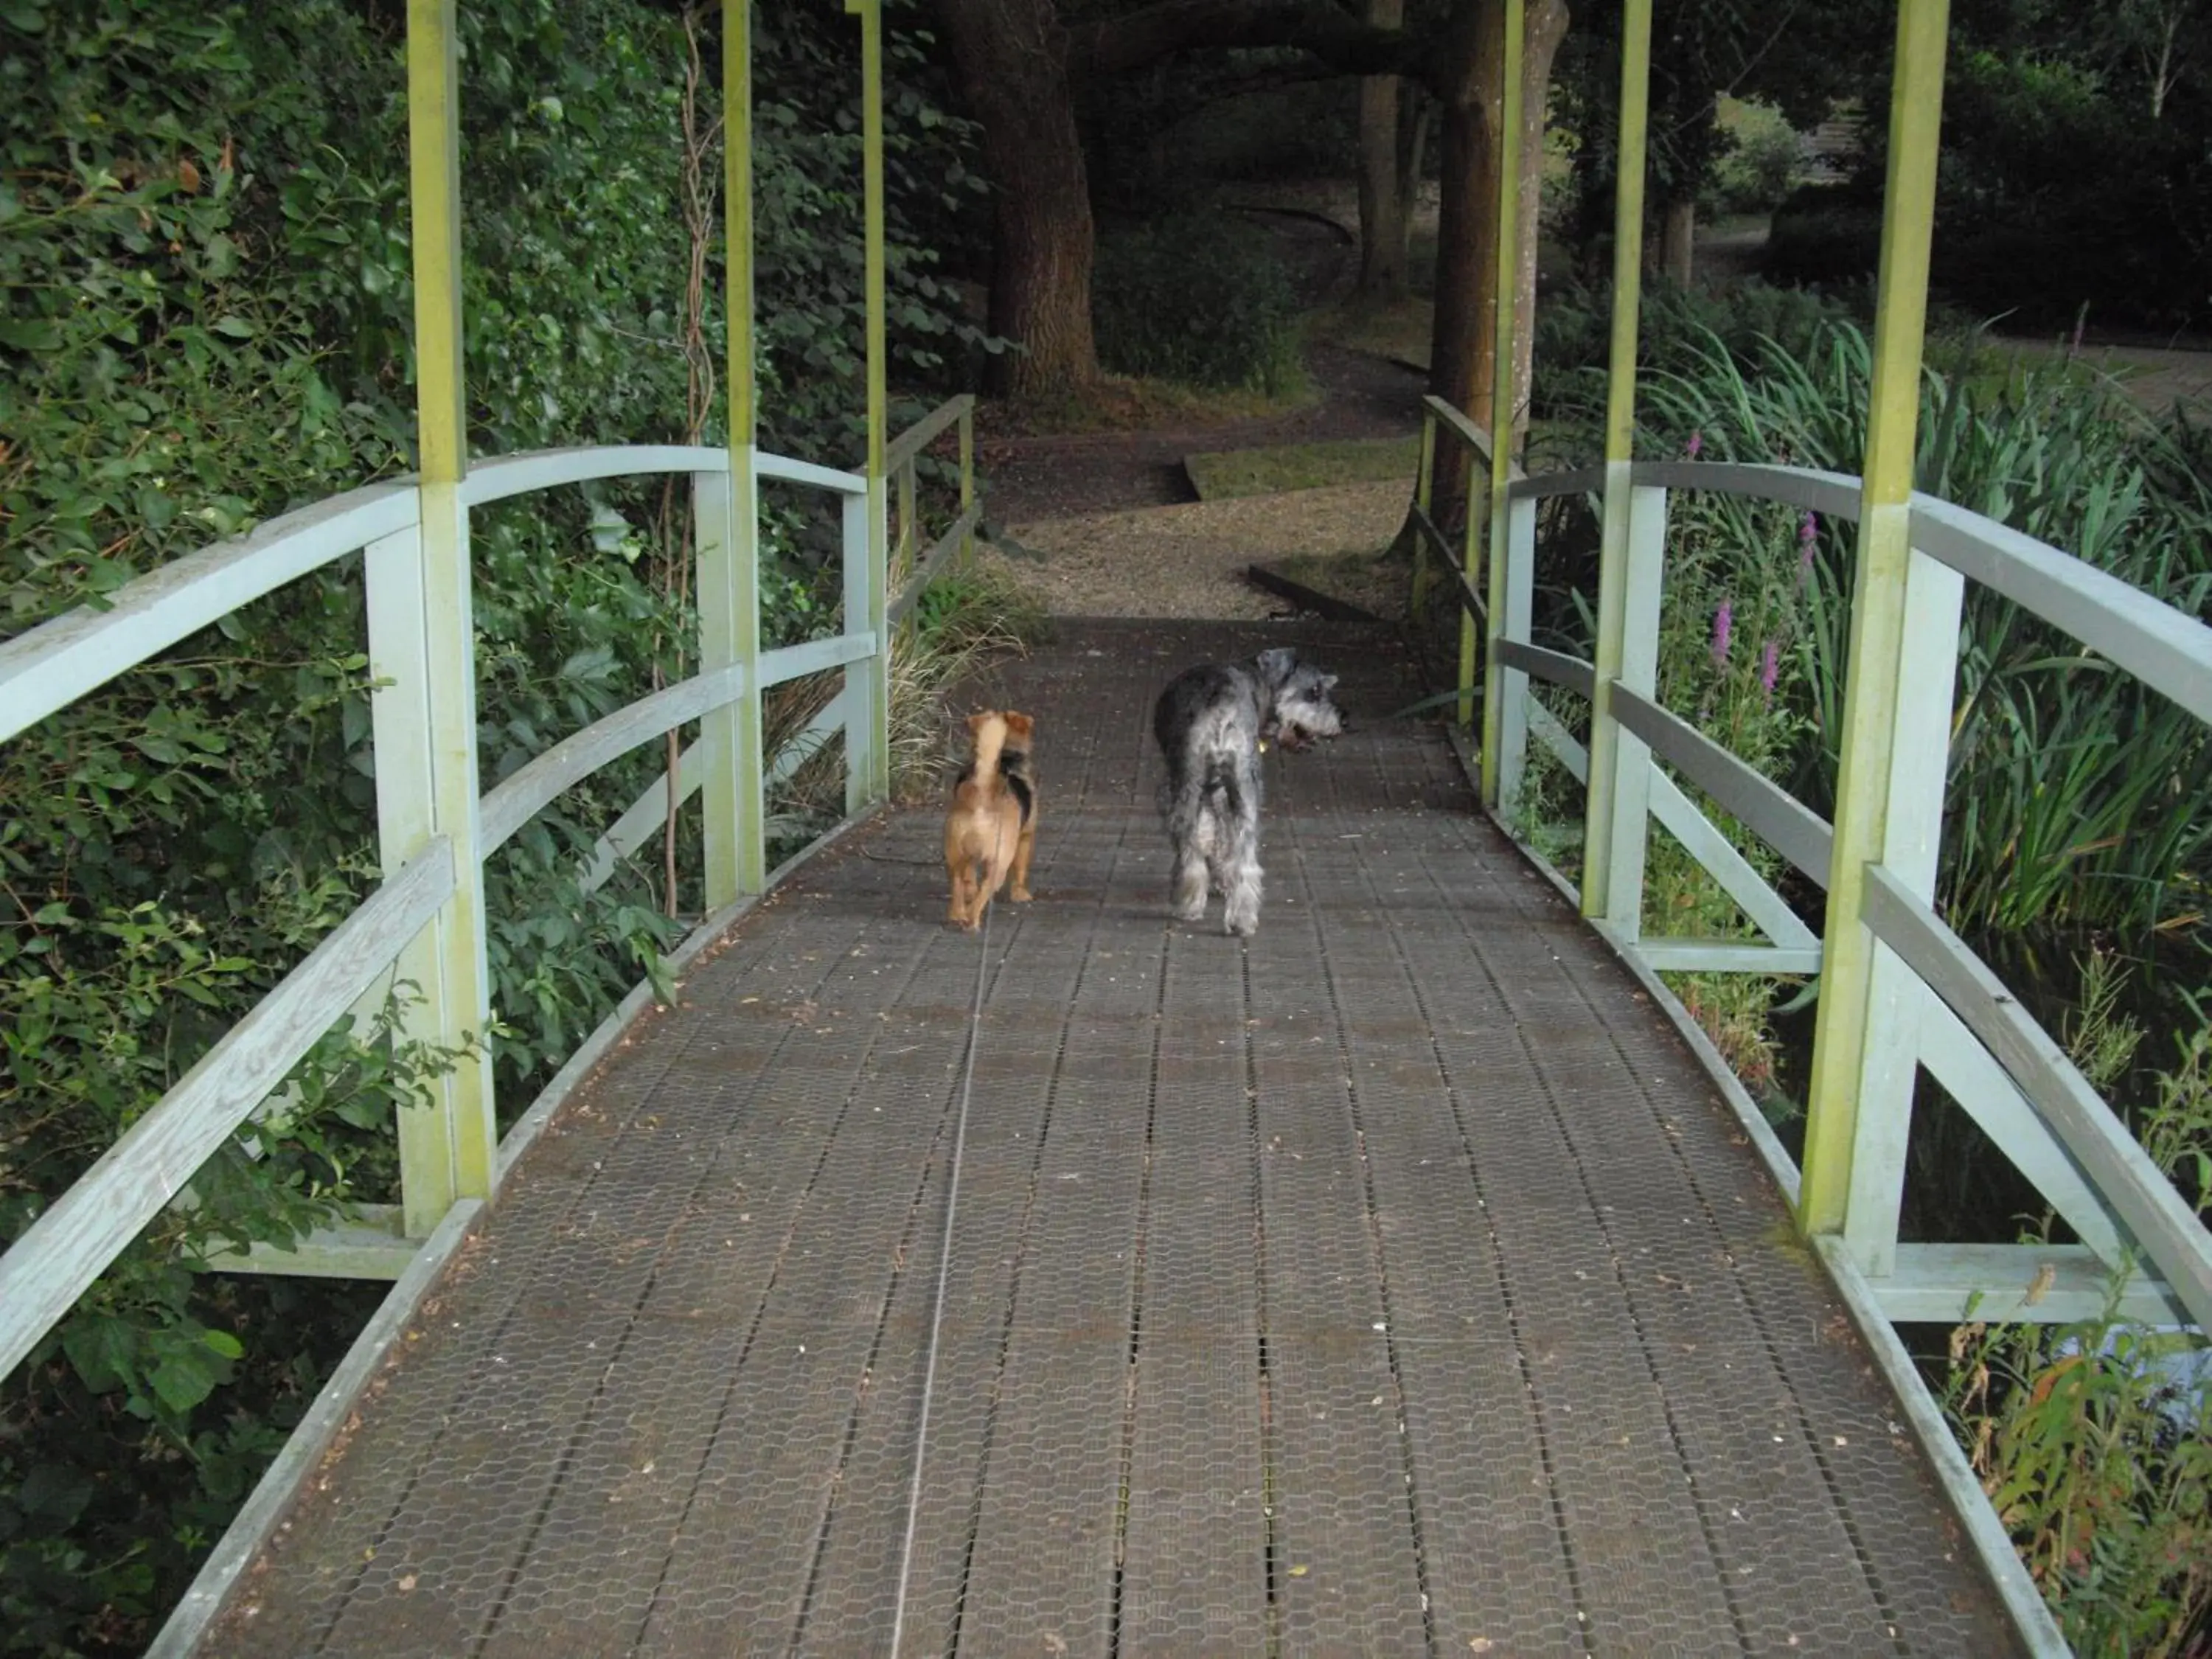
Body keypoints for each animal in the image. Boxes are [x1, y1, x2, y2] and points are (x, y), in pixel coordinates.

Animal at [938, 708, 1031, 929]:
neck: (1005, 759)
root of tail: (982, 796)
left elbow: (969, 879)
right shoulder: (1026, 837)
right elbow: (1021, 869)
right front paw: (1020, 893)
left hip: (955, 854)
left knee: (958, 885)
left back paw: (957, 914)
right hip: (1000, 862)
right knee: (984, 893)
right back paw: (972, 920)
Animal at [1159, 646, 1345, 938]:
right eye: (1314, 691)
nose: (1342, 719)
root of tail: (1223, 711)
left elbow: (1210, 836)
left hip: (1194, 786)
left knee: (1198, 849)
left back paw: (1194, 902)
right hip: (1240, 789)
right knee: (1243, 858)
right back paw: (1239, 917)